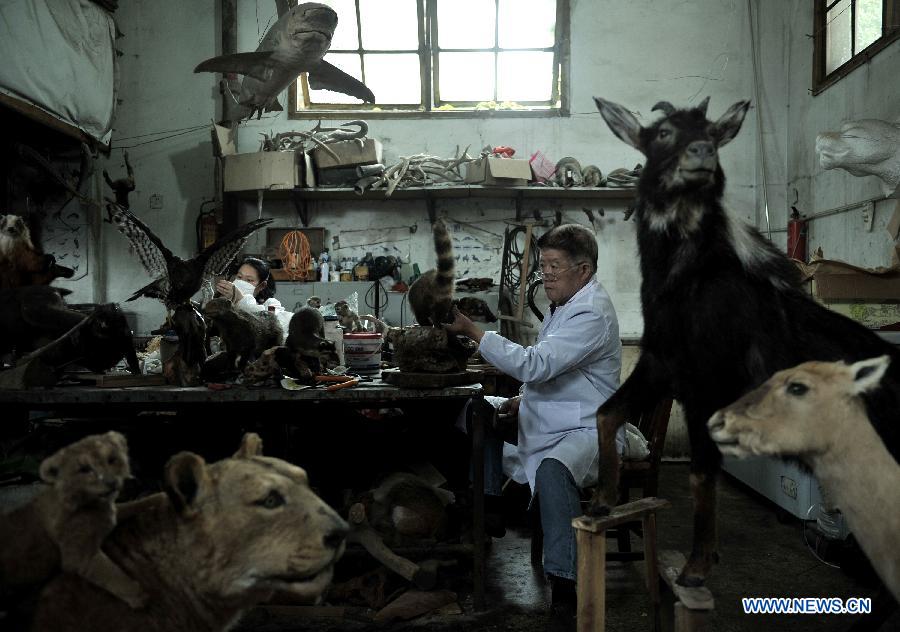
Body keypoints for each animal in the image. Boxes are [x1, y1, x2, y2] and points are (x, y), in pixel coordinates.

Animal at [0, 430, 148, 608]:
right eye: (84, 469)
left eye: (112, 459)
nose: (111, 482)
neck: (97, 503)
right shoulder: (78, 557)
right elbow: (112, 574)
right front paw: (140, 597)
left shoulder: (114, 513)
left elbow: (137, 504)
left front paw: (161, 498)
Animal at [592, 94, 900, 588]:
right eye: (662, 132)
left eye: (713, 134)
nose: (701, 153)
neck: (686, 279)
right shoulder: (662, 362)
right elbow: (606, 413)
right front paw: (602, 499)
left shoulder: (706, 381)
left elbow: (701, 474)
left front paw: (697, 567)